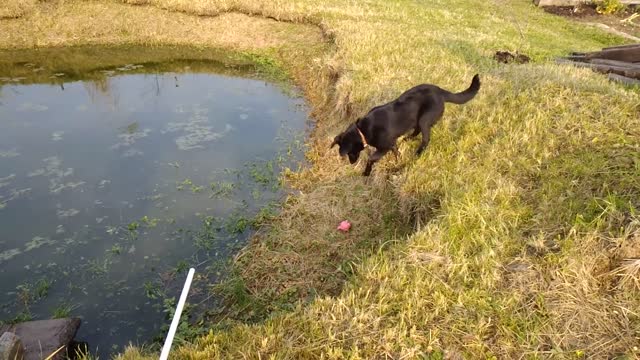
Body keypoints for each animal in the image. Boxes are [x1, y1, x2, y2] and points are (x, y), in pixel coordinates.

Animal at [332, 74, 478, 175]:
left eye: (349, 153)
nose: (351, 163)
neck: (362, 130)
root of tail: (441, 92)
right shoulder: (391, 144)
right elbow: (396, 152)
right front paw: (398, 161)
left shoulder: (384, 147)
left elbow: (371, 158)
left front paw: (366, 173)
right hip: (418, 119)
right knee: (416, 131)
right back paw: (407, 139)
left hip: (424, 119)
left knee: (425, 139)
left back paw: (418, 153)